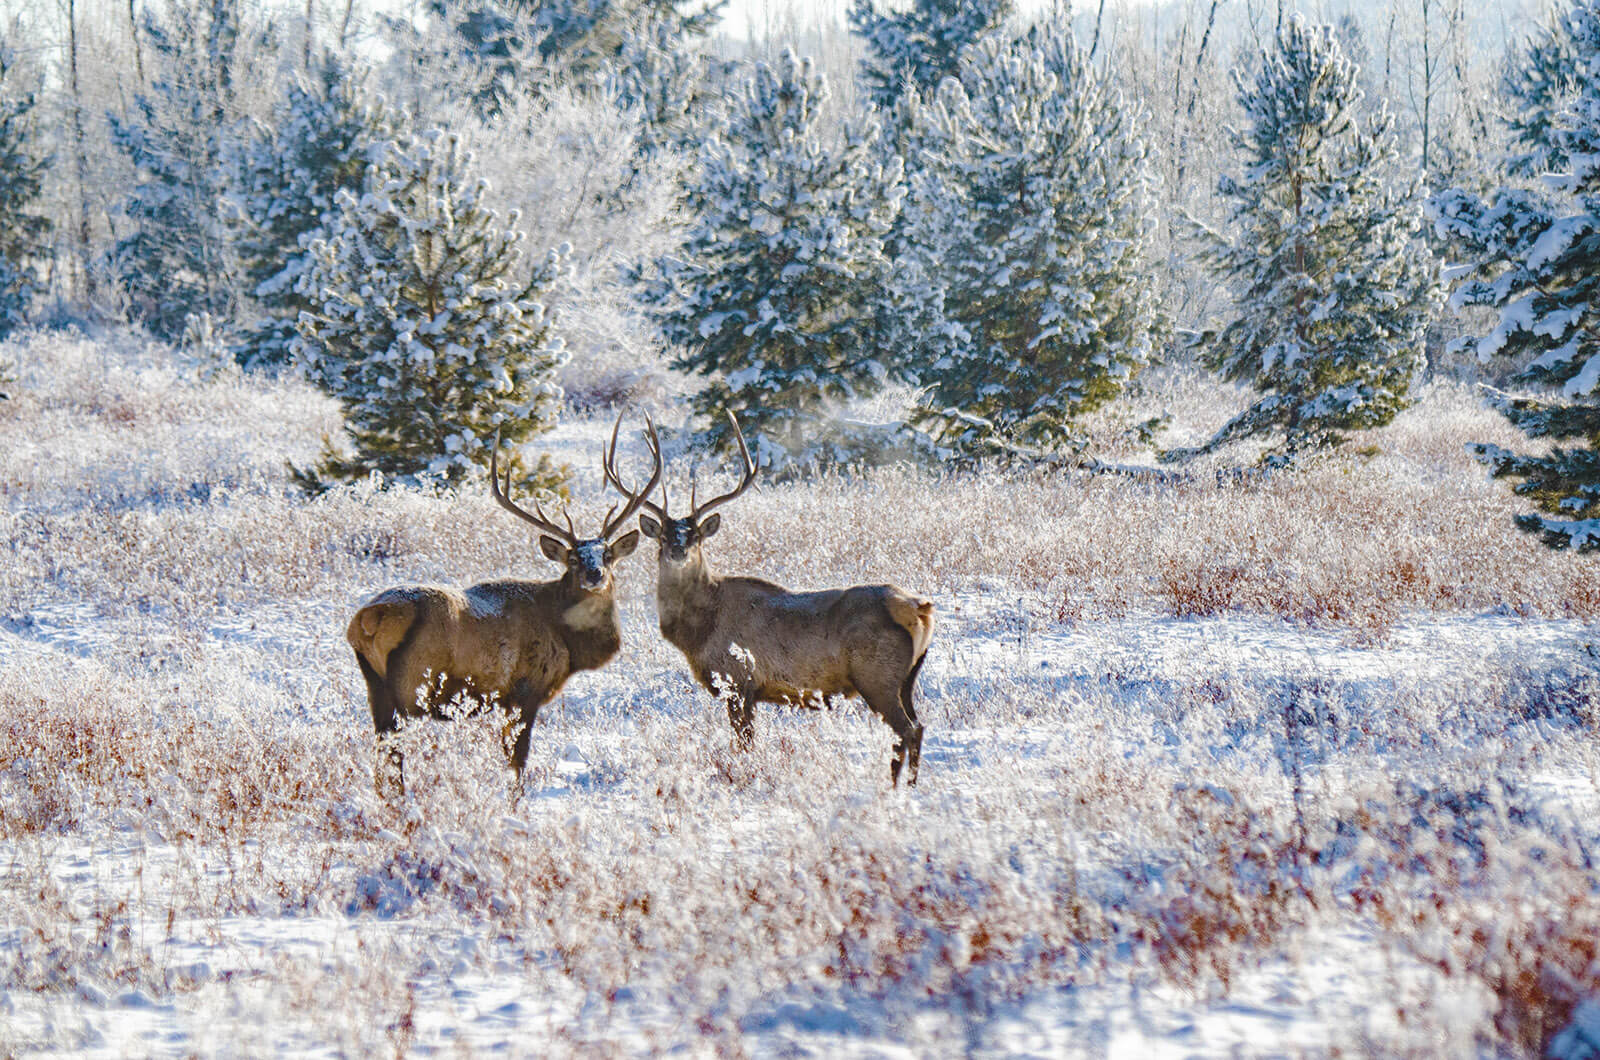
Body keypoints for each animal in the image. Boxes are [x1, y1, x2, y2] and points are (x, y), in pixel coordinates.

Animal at [347, 416, 659, 797]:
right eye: (572, 558)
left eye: (608, 555)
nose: (594, 574)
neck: (569, 643)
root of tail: (366, 619)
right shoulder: (524, 691)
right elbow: (517, 764)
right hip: (412, 684)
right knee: (394, 752)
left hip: (374, 685)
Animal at [611, 416, 934, 787]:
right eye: (663, 536)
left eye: (695, 537)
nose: (678, 551)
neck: (699, 630)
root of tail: (919, 608)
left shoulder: (739, 681)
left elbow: (744, 742)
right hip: (907, 679)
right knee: (917, 727)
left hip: (877, 675)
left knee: (906, 730)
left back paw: (899, 789)